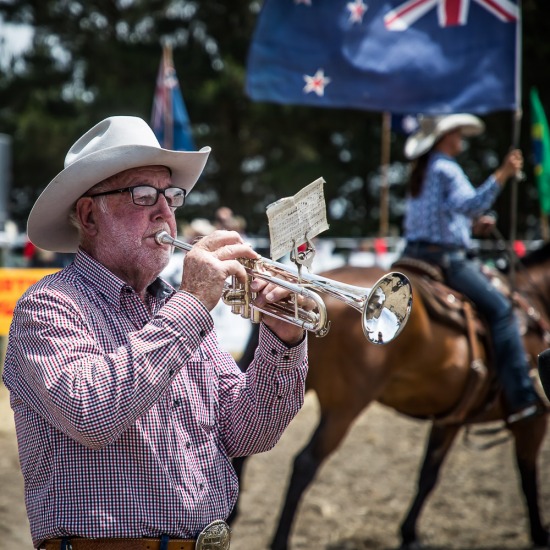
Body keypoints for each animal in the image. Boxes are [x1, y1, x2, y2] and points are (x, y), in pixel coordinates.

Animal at [231, 246, 550, 550]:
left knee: (249, 452)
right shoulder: (531, 420)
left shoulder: (450, 419)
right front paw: (538, 532)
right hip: (346, 407)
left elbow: (428, 475)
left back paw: (234, 517)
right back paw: (278, 540)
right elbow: (527, 476)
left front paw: (409, 535)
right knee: (304, 463)